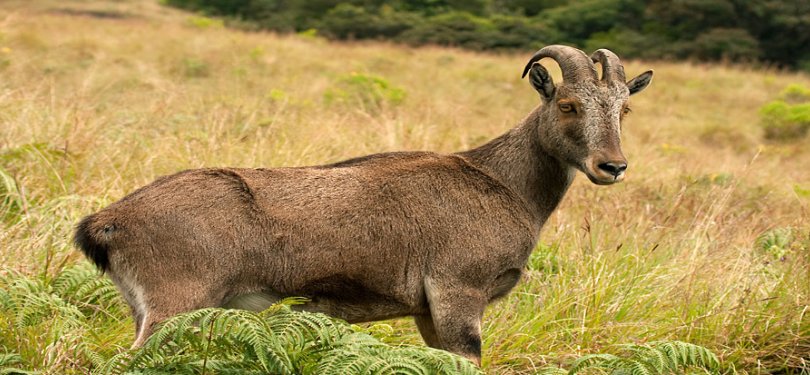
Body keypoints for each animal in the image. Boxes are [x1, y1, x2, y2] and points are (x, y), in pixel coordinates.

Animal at [71, 44, 652, 364]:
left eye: (624, 107)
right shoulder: (458, 294)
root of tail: (107, 222)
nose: (612, 166)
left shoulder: (427, 314)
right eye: (568, 103)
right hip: (175, 304)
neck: (503, 184)